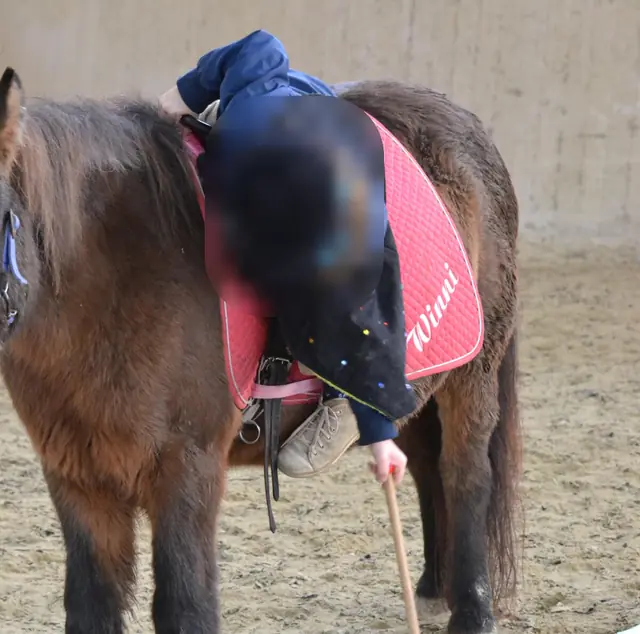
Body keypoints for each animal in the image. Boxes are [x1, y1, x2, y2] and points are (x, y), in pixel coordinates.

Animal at [0, 65, 521, 634]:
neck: (119, 270)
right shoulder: (78, 477)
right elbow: (91, 603)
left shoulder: (186, 469)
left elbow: (185, 605)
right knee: (428, 467)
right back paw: (430, 589)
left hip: (472, 373)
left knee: (466, 476)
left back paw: (472, 611)